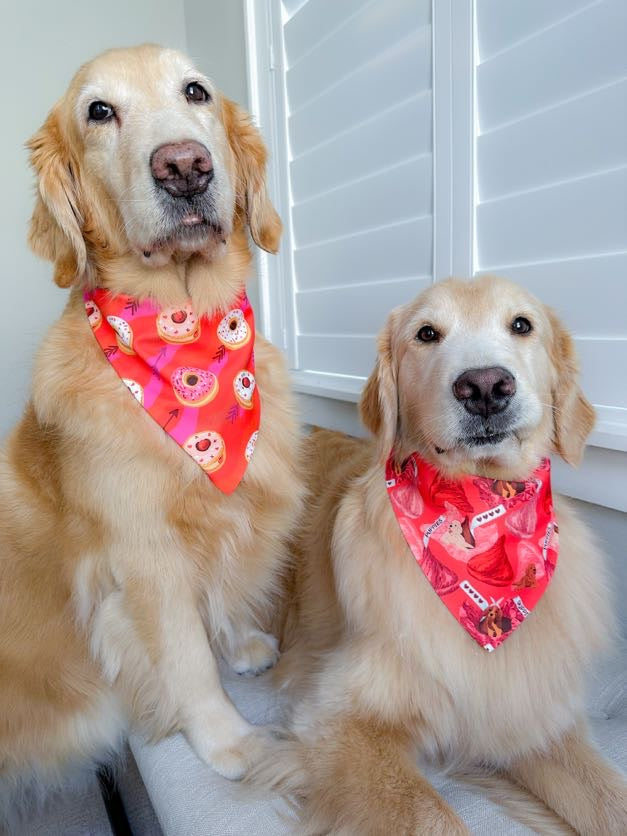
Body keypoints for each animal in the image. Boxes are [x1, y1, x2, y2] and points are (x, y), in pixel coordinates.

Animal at [0, 42, 302, 820]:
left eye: (196, 92)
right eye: (99, 111)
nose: (184, 166)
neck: (183, 325)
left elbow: (224, 593)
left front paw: (239, 643)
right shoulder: (143, 558)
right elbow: (186, 658)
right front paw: (230, 739)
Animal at [264, 278, 627, 832]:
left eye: (522, 324)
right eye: (426, 334)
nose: (485, 387)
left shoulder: (530, 715)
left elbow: (609, 800)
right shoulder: (336, 724)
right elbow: (435, 818)